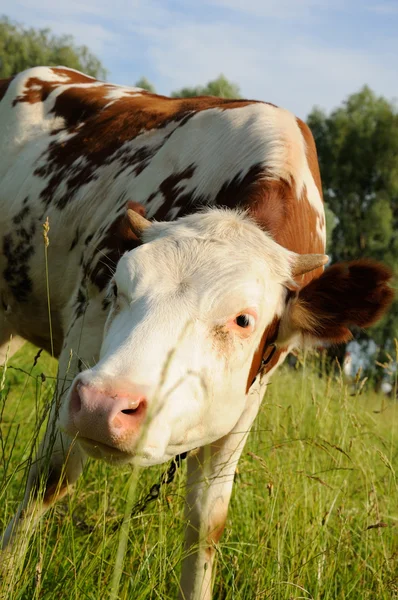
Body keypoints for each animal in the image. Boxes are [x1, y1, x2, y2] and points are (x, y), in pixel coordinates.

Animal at [0, 67, 392, 600]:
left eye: (244, 320)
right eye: (119, 286)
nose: (104, 405)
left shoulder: (248, 399)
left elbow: (206, 521)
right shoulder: (83, 338)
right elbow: (50, 477)